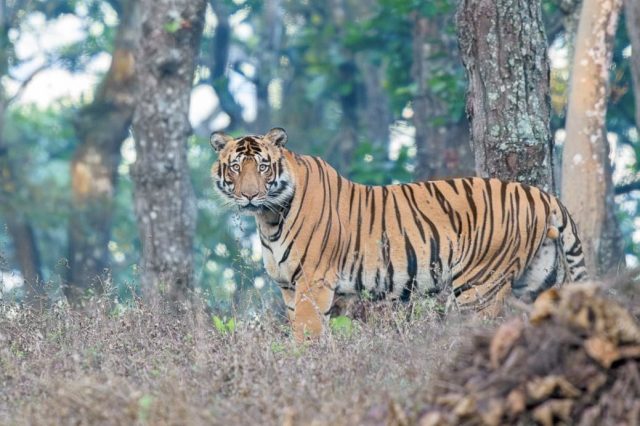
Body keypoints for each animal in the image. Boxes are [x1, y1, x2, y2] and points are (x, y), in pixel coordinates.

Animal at [210, 127, 587, 340]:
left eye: (263, 166)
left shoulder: (312, 284)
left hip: (479, 288)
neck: (269, 216)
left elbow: (307, 333)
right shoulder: (289, 287)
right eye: (235, 167)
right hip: (539, 280)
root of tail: (541, 194)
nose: (249, 195)